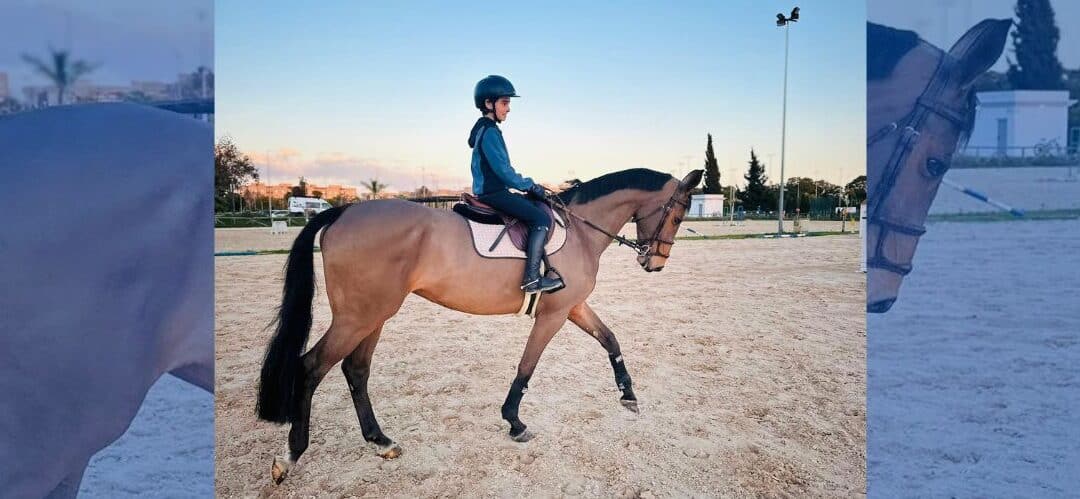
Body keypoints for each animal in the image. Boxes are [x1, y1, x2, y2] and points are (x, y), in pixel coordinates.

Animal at [257, 167, 704, 483]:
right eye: (678, 215)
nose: (655, 263)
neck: (579, 228)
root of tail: (346, 210)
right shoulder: (554, 314)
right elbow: (527, 366)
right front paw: (514, 421)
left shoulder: (574, 306)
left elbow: (610, 339)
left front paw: (628, 394)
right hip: (358, 316)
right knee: (311, 367)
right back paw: (290, 456)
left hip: (374, 315)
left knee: (356, 370)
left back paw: (380, 441)